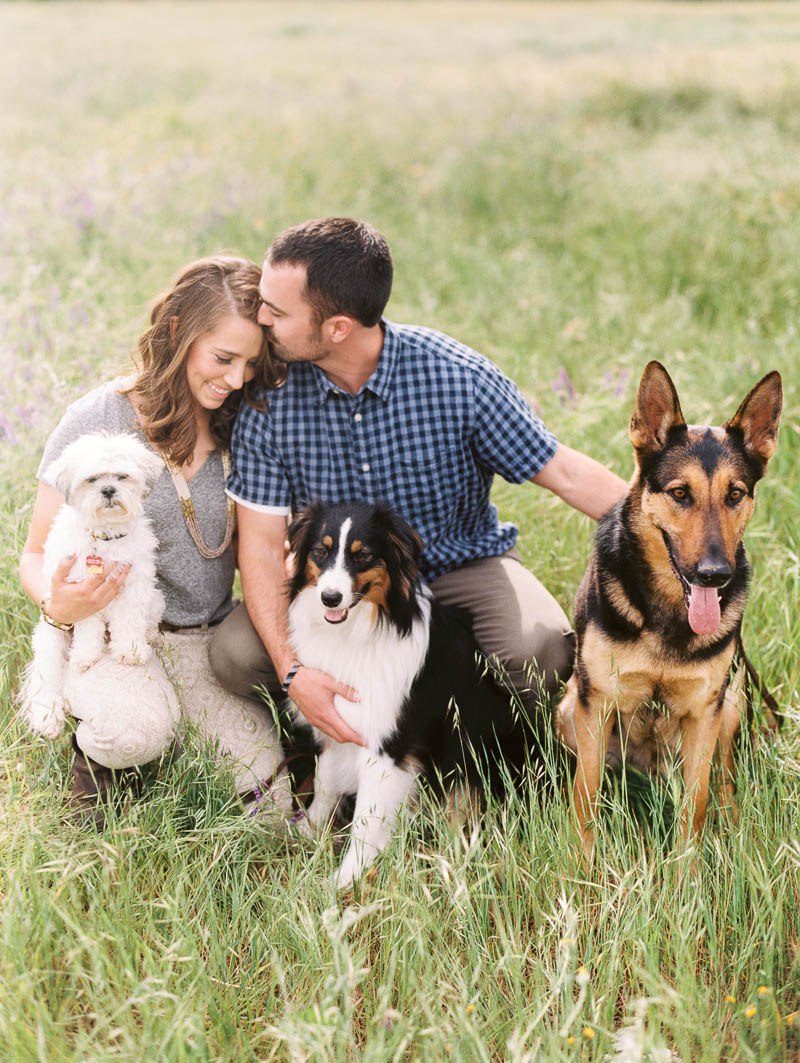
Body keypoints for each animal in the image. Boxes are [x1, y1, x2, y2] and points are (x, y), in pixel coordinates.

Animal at [19, 431, 165, 739]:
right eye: (91, 479)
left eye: (122, 476)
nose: (108, 490)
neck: (105, 536)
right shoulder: (81, 593)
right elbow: (89, 629)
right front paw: (87, 655)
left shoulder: (135, 585)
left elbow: (129, 621)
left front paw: (130, 650)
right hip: (51, 638)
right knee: (47, 677)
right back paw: (48, 716)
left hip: (156, 599)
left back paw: (151, 636)